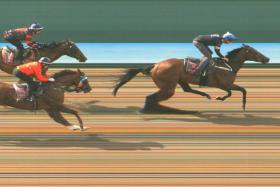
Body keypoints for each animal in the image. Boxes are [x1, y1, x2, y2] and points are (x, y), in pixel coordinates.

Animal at [113, 44, 270, 112]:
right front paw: (242, 106)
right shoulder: (224, 84)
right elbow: (241, 90)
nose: (267, 59)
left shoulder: (225, 85)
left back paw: (205, 95)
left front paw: (219, 98)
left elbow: (235, 92)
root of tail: (155, 65)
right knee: (151, 97)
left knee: (187, 89)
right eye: (255, 52)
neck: (228, 65)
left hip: (179, 81)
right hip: (168, 87)